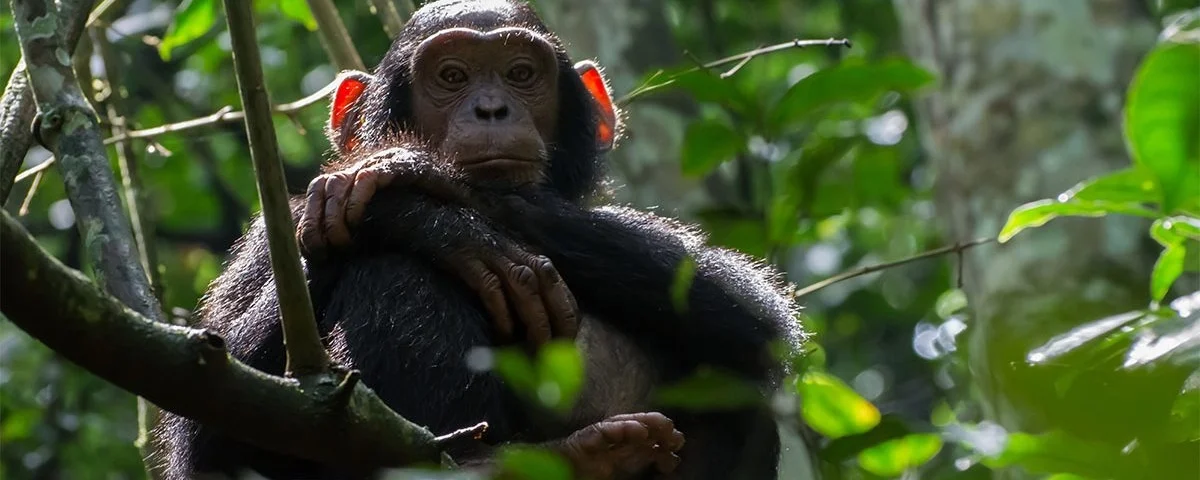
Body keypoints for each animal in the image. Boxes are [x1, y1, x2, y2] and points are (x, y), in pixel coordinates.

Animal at [156, 1, 803, 479]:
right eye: (451, 76)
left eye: (521, 73)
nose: (492, 108)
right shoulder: (268, 236)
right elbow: (211, 423)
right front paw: (439, 226)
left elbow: (753, 314)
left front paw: (414, 177)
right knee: (393, 271)